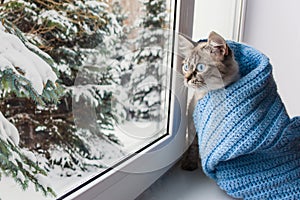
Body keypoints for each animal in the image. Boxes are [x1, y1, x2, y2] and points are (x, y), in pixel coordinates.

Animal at [179, 30, 240, 170]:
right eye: (186, 67)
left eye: (200, 67)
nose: (186, 78)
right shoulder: (192, 121)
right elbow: (194, 144)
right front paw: (190, 163)